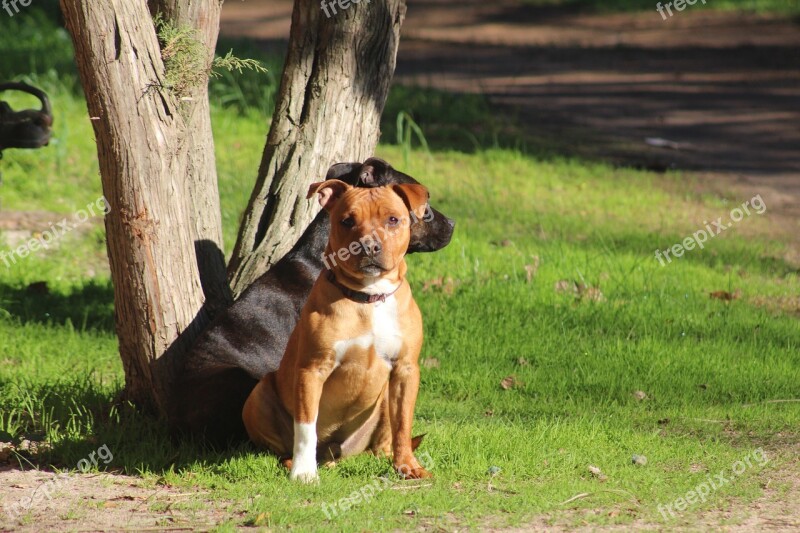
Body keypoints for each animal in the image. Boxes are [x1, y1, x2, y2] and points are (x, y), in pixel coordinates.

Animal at [242, 178, 434, 482]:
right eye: (347, 221)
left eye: (393, 219)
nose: (368, 245)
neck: (369, 297)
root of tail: (334, 453)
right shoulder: (312, 370)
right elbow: (306, 428)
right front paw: (304, 472)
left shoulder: (405, 368)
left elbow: (403, 423)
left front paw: (407, 465)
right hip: (258, 395)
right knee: (282, 447)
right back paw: (296, 462)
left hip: (383, 400)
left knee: (382, 440)